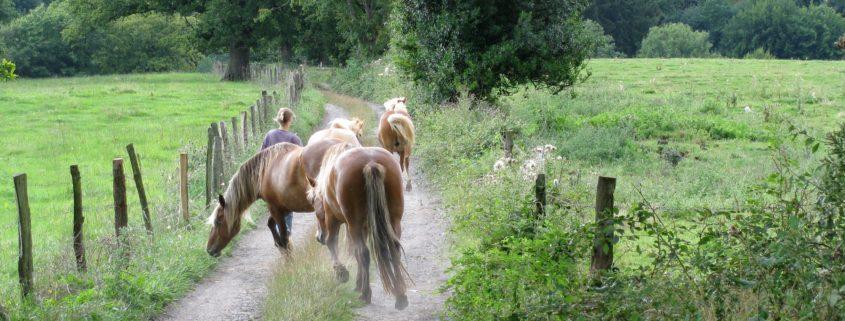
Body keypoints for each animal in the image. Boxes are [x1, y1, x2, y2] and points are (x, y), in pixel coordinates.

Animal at [306, 144, 408, 308]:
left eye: (312, 201)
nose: (318, 236)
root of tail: (371, 163)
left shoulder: (333, 220)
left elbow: (333, 243)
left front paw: (341, 273)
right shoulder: (362, 228)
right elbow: (354, 252)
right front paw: (358, 283)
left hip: (354, 225)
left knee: (364, 253)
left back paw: (366, 294)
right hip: (393, 221)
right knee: (394, 251)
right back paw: (400, 296)